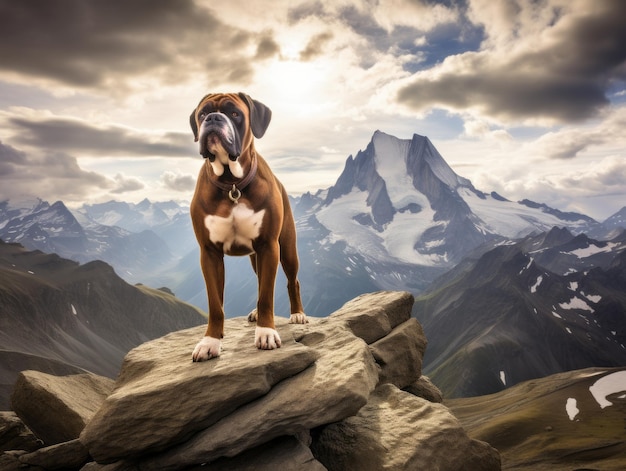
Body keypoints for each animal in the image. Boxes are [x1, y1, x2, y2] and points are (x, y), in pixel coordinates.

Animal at [189, 94, 308, 364]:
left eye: (234, 113)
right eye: (203, 114)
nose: (213, 119)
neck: (231, 183)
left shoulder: (269, 246)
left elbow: (267, 296)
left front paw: (266, 333)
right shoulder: (209, 253)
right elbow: (216, 303)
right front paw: (211, 341)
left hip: (287, 250)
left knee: (291, 281)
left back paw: (297, 314)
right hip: (256, 257)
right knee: (260, 279)